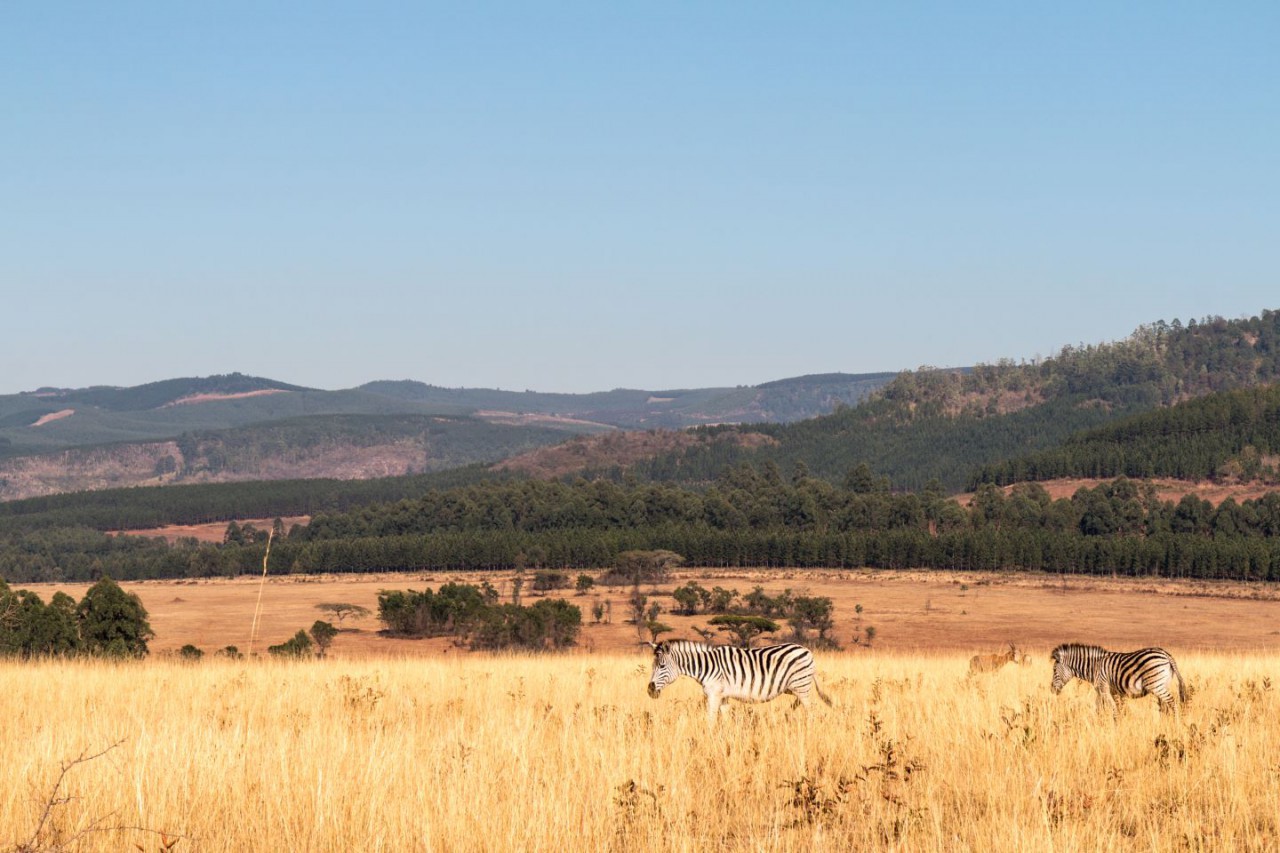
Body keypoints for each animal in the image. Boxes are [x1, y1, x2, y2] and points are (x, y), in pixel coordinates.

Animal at [645, 637, 834, 722]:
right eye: (652, 666)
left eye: (662, 666)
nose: (650, 690)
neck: (706, 666)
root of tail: (807, 651)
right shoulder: (723, 696)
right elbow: (725, 718)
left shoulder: (714, 694)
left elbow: (710, 719)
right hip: (795, 687)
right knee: (800, 703)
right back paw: (788, 713)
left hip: (801, 685)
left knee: (811, 711)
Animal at [1049, 640, 1187, 712]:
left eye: (1054, 670)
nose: (1052, 690)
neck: (1094, 667)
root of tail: (1166, 654)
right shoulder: (1108, 691)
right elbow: (1101, 709)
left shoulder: (1103, 688)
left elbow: (1113, 709)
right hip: (1162, 684)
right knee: (1164, 706)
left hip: (1156, 686)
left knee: (1172, 703)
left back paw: (1175, 724)